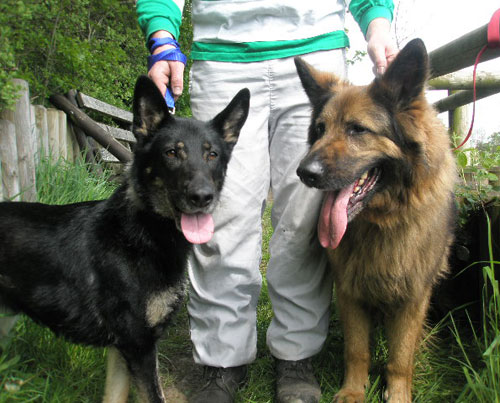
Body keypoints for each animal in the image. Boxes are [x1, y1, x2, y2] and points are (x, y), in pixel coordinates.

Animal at [0, 76, 250, 403]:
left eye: (212, 155)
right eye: (171, 153)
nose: (202, 198)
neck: (141, 234)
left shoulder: (123, 351)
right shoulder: (138, 345)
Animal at [296, 38, 458, 403]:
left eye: (357, 129)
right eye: (319, 130)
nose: (304, 173)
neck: (382, 221)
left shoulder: (413, 296)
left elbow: (400, 358)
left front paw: (397, 394)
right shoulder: (349, 290)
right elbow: (357, 350)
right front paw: (353, 391)